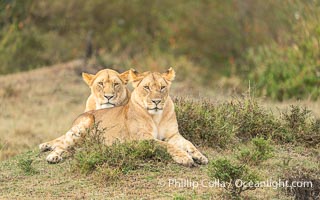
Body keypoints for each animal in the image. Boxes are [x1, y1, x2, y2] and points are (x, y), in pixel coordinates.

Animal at [39, 68, 208, 166]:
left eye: (162, 87)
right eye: (147, 87)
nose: (157, 101)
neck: (157, 117)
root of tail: (82, 114)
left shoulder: (173, 135)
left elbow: (189, 144)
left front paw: (200, 156)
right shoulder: (142, 139)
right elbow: (167, 146)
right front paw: (185, 158)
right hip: (82, 126)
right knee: (62, 144)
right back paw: (53, 156)